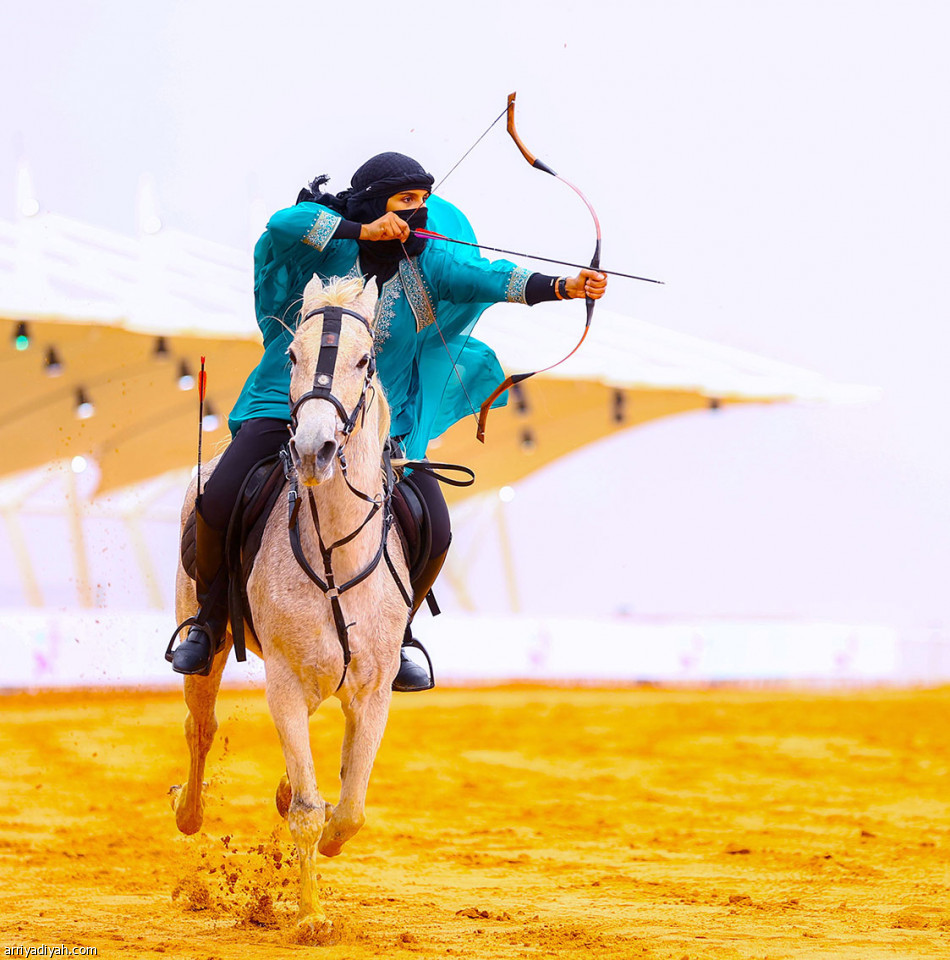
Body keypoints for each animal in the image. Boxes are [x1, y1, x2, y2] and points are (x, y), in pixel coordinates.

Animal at [171, 274, 410, 940]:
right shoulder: (283, 681)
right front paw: (310, 917)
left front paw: (326, 838)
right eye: (293, 355)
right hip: (209, 644)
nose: (313, 449)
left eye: (365, 360)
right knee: (200, 727)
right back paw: (186, 810)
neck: (336, 555)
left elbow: (349, 809)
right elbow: (307, 809)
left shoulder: (375, 690)